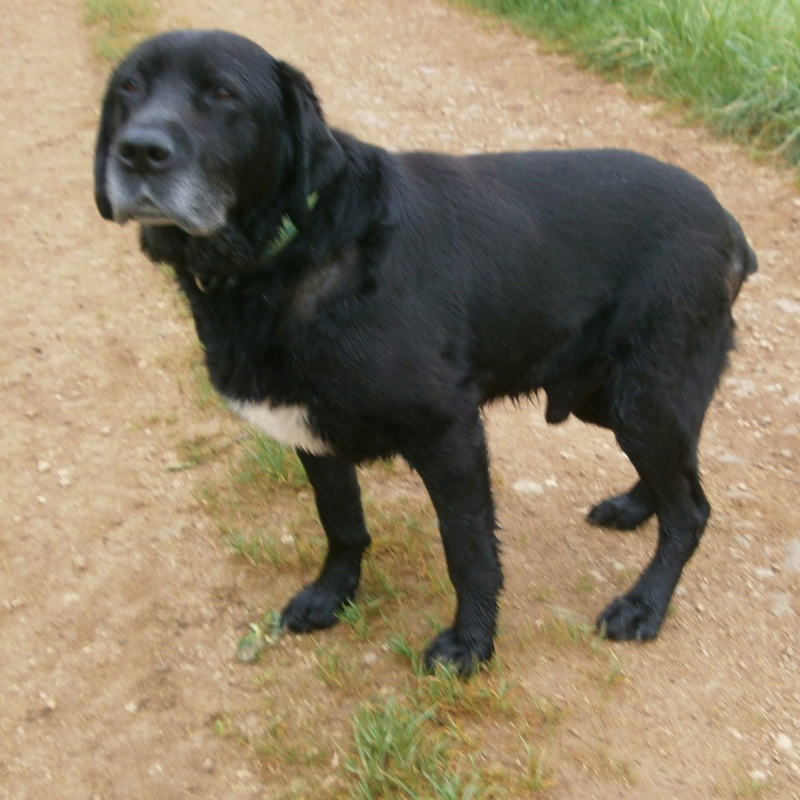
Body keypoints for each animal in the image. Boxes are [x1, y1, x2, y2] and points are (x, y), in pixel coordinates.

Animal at [94, 28, 756, 672]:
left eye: (223, 93)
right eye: (129, 87)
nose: (139, 151)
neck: (289, 252)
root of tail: (726, 222)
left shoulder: (448, 434)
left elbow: (468, 551)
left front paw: (471, 646)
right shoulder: (311, 434)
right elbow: (341, 524)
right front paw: (331, 597)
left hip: (643, 395)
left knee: (690, 510)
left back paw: (644, 605)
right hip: (613, 396)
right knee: (678, 473)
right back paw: (636, 507)